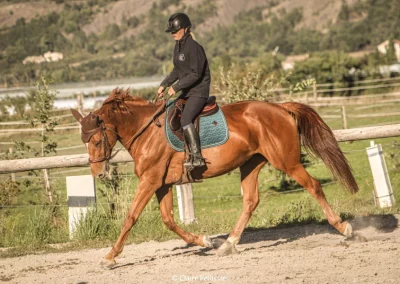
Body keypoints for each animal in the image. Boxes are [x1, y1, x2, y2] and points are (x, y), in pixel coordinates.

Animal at [70, 89, 358, 268]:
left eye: (96, 140)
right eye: (84, 142)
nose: (98, 173)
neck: (147, 131)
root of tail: (280, 108)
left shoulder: (150, 181)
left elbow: (130, 217)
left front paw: (110, 256)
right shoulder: (161, 184)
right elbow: (168, 220)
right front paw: (204, 240)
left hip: (286, 162)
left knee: (313, 186)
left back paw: (344, 228)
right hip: (251, 163)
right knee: (250, 201)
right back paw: (228, 244)